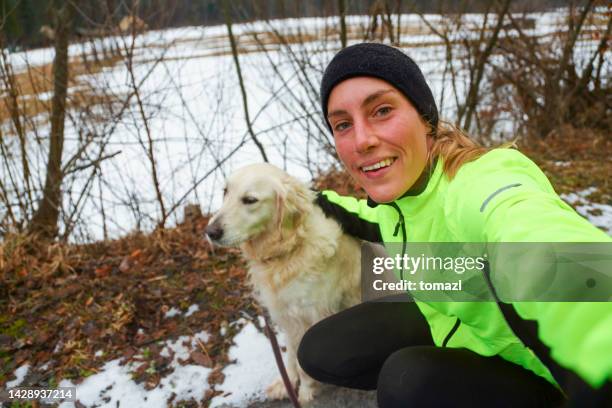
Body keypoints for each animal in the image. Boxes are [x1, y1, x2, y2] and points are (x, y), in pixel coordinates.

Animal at [206, 163, 360, 404]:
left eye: (250, 200)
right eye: (225, 191)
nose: (210, 232)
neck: (287, 253)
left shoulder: (312, 316)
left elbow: (302, 362)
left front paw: (305, 392)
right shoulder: (286, 314)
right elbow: (290, 355)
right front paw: (285, 383)